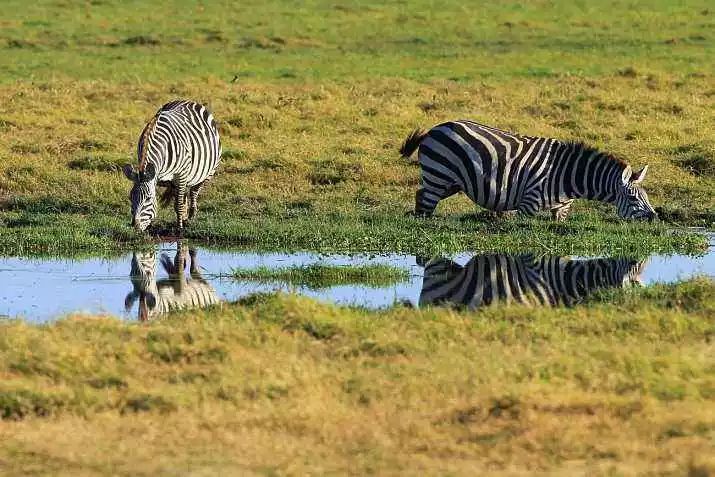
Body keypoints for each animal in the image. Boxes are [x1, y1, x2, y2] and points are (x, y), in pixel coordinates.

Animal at [124, 100, 221, 232]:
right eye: (130, 197)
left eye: (148, 198)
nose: (136, 226)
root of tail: (187, 101)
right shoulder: (160, 178)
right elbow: (177, 203)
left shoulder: (181, 175)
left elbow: (178, 205)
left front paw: (179, 228)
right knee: (185, 196)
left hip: (208, 172)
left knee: (194, 191)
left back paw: (191, 215)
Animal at [400, 121, 656, 221]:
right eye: (633, 198)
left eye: (646, 197)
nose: (655, 217)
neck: (567, 176)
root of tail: (436, 128)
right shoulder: (528, 204)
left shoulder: (561, 209)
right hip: (439, 175)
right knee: (426, 201)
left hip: (450, 182)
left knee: (421, 195)